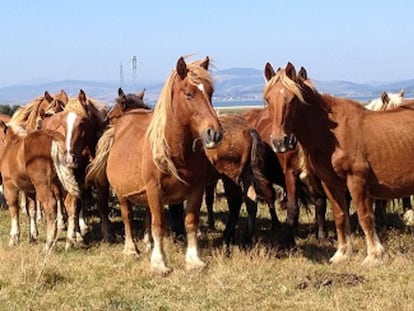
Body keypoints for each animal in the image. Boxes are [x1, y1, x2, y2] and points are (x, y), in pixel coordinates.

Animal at [0, 120, 80, 252]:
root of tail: (54, 139)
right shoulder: (30, 190)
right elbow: (31, 210)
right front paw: (32, 235)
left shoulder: (9, 185)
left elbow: (14, 209)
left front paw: (14, 238)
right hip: (61, 182)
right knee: (70, 204)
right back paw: (69, 243)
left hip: (43, 185)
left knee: (50, 205)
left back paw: (48, 245)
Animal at [85, 56, 223, 276]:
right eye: (189, 93)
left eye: (210, 92)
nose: (215, 134)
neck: (176, 151)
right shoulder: (154, 190)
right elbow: (158, 224)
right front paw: (159, 263)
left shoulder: (196, 189)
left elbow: (190, 222)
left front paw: (194, 260)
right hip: (122, 192)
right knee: (127, 217)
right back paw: (131, 249)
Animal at [264, 61, 414, 266]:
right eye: (267, 99)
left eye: (293, 99)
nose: (280, 142)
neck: (332, 137)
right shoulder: (330, 183)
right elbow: (340, 216)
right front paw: (343, 253)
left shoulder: (357, 180)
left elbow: (364, 216)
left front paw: (374, 256)